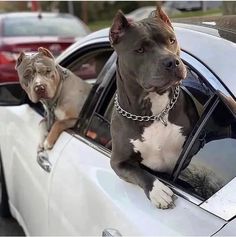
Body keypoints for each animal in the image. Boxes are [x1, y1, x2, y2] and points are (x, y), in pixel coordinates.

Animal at [109, 6, 198, 207]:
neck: (152, 112)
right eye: (140, 49)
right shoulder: (118, 161)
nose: (172, 62)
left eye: (171, 40)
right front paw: (157, 190)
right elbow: (138, 172)